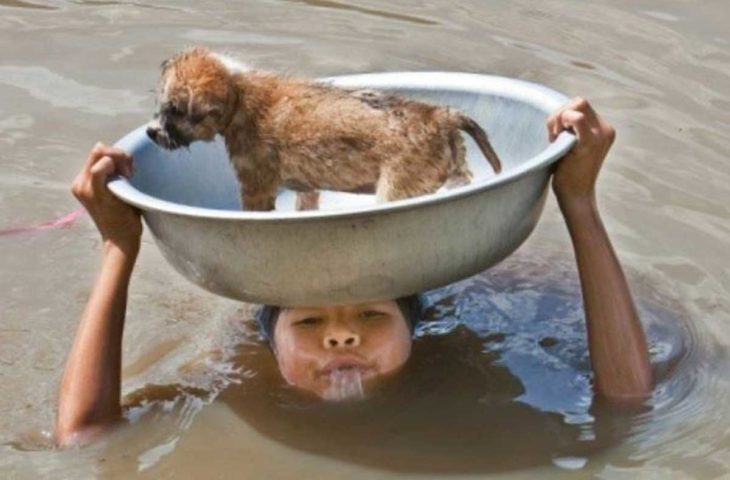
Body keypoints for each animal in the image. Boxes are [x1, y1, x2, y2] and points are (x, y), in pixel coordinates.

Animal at [145, 47, 498, 211]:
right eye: (161, 105)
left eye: (174, 110)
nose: (151, 132)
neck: (239, 95)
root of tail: (439, 115)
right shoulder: (307, 188)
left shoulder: (256, 187)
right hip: (456, 172)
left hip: (396, 190)